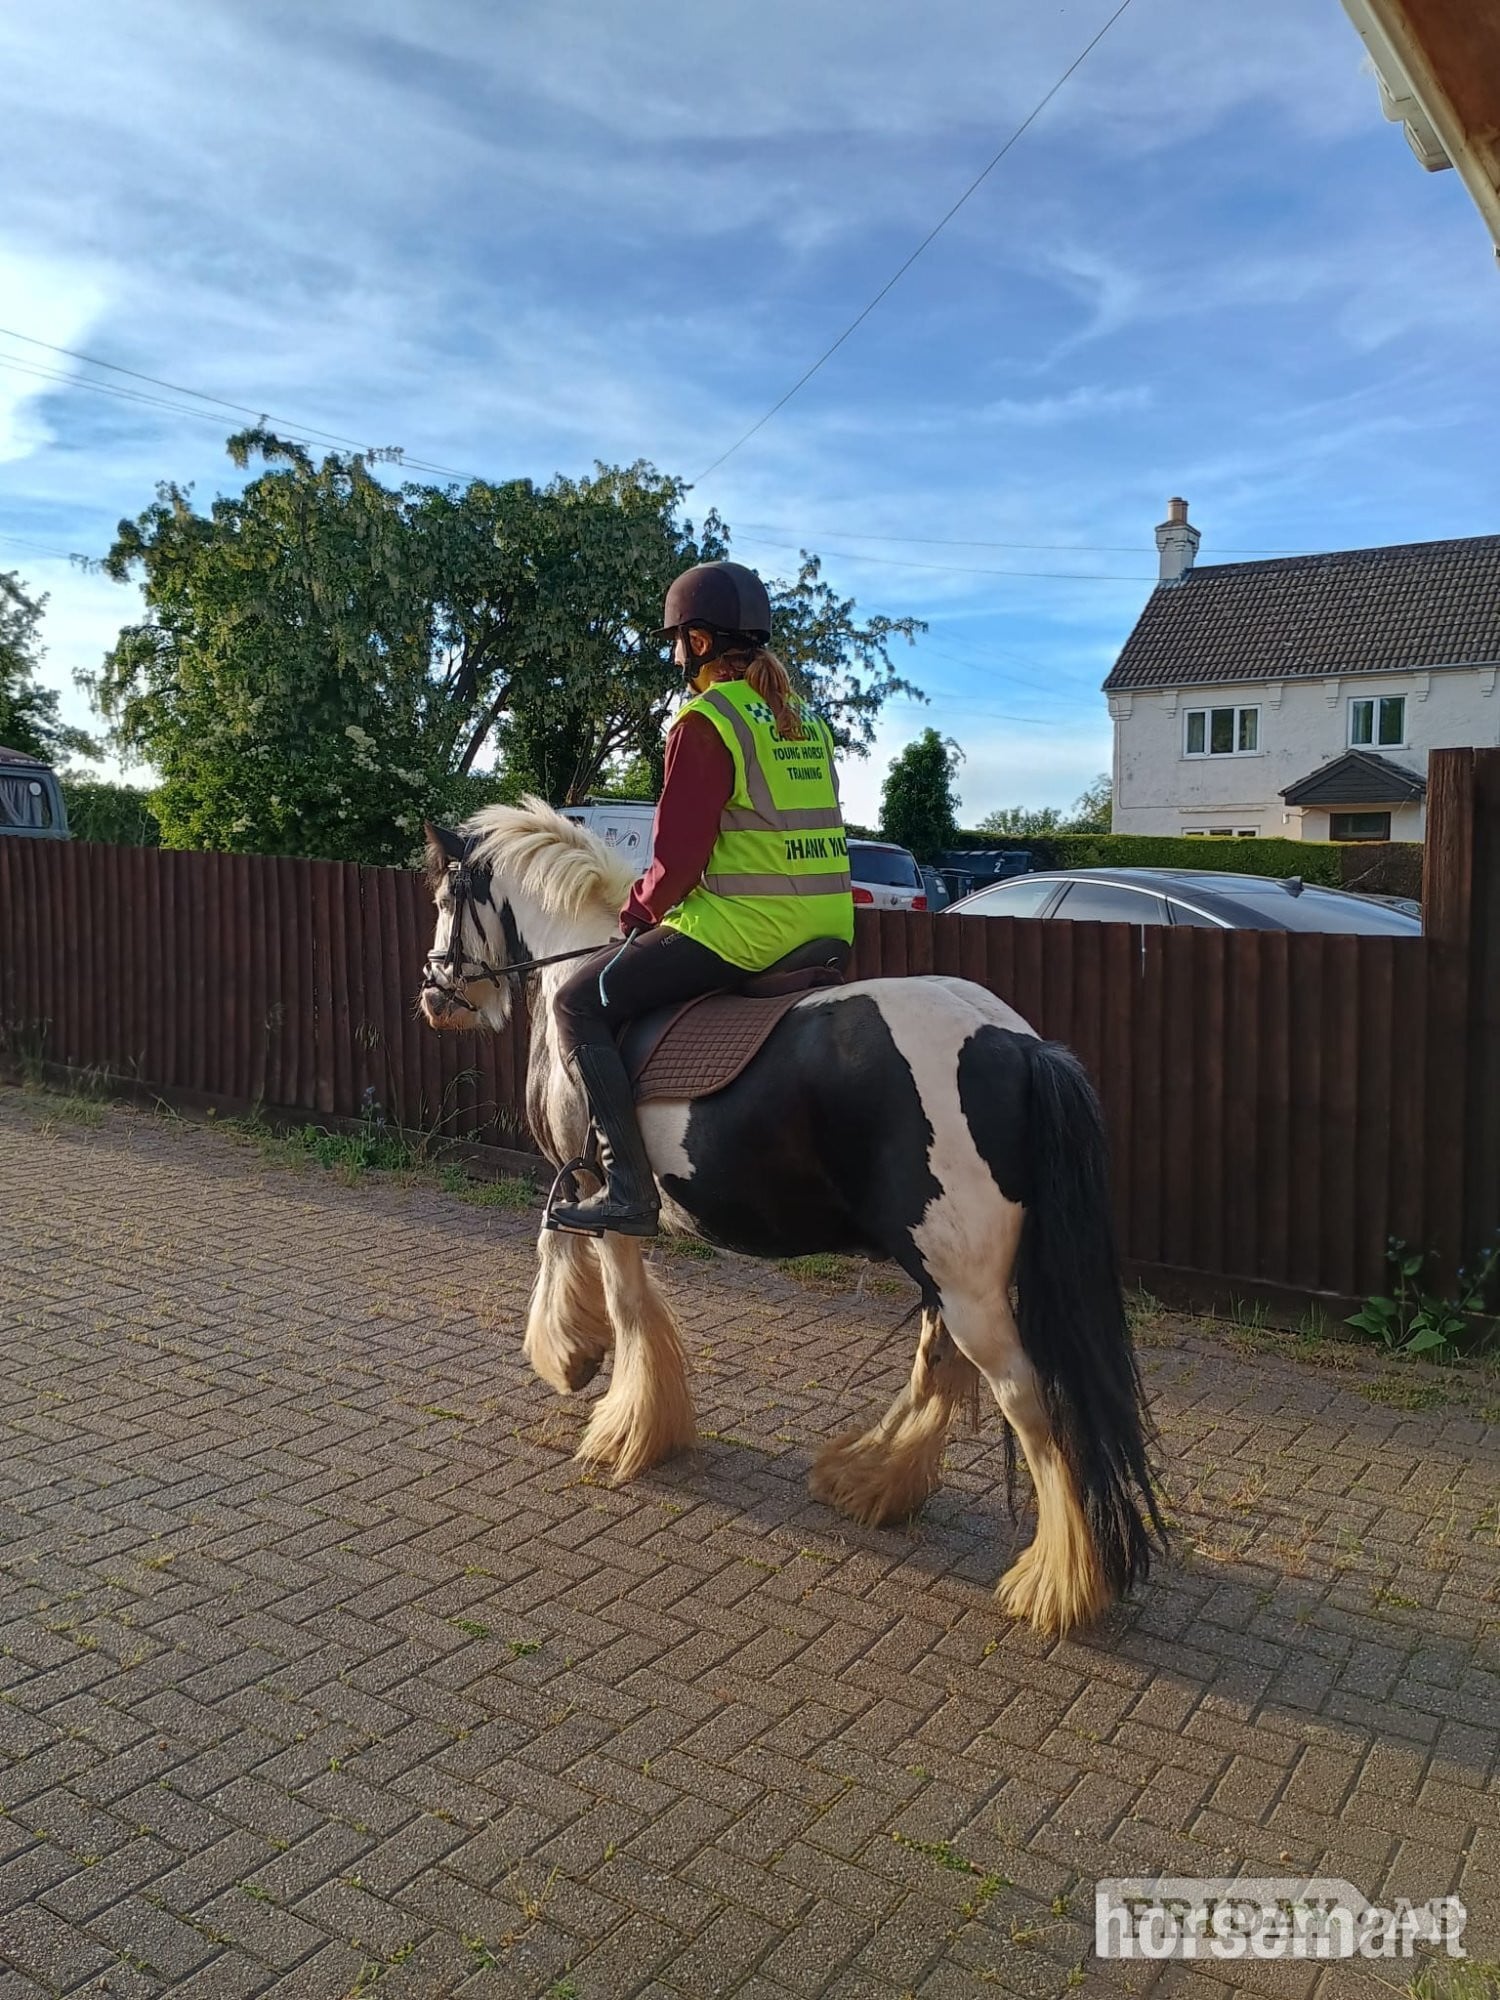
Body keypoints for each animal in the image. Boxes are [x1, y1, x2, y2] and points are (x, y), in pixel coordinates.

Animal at [418, 799, 1164, 1637]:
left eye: (444, 897)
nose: (435, 994)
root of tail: (1017, 1047)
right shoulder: (586, 1190)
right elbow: (581, 1267)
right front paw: (589, 1370)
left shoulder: (599, 1192)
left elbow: (604, 1288)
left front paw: (598, 1398)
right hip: (944, 1268)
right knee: (940, 1364)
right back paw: (871, 1477)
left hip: (967, 1287)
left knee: (1027, 1402)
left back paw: (1057, 1582)